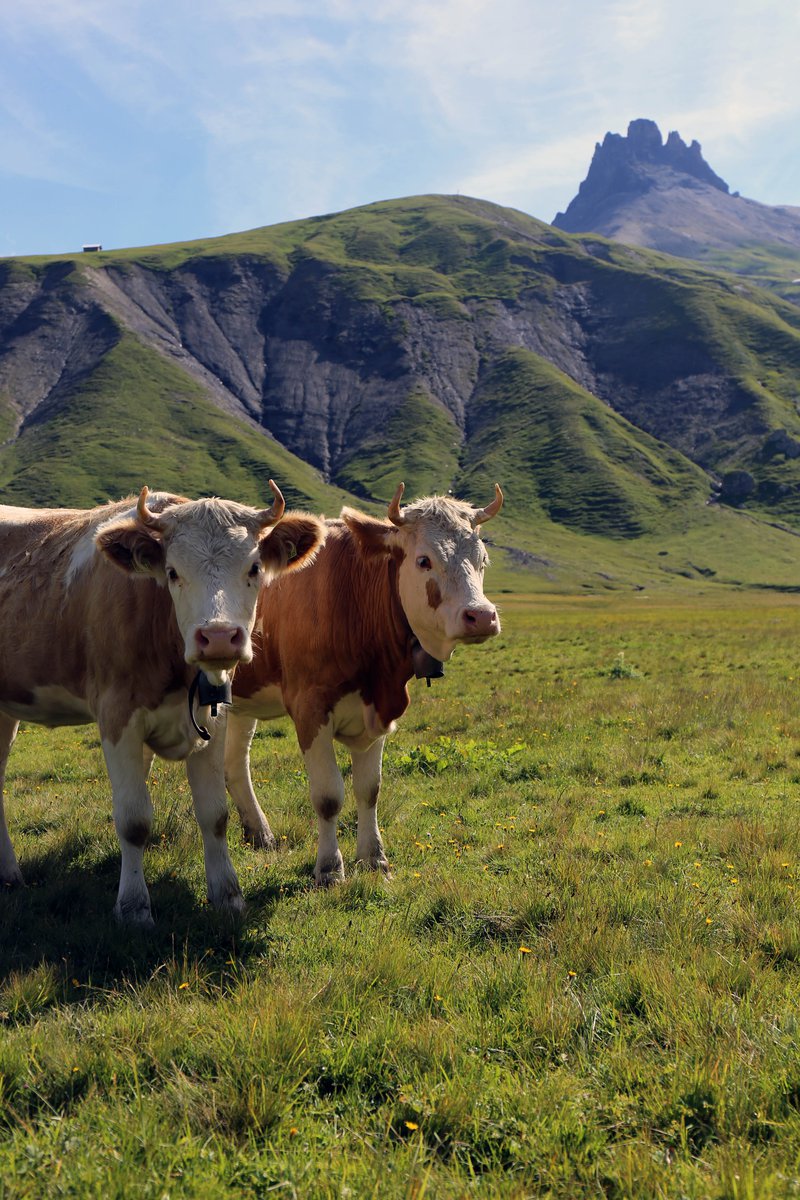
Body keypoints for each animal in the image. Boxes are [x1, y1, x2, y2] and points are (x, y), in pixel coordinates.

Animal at [0, 482, 326, 921]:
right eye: (172, 572)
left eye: (254, 568)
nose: (218, 637)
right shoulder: (117, 715)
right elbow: (134, 819)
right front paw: (134, 906)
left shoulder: (213, 717)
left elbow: (214, 813)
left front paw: (228, 894)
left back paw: (8, 875)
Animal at [226, 482, 501, 888]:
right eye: (424, 560)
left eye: (483, 559)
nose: (481, 616)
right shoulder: (310, 710)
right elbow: (328, 795)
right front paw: (329, 868)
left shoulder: (378, 711)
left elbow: (369, 790)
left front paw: (374, 859)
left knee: (235, 763)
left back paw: (260, 834)